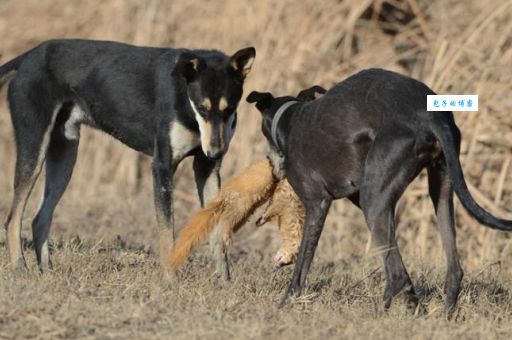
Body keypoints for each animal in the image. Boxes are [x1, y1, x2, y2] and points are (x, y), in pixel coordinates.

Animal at [0, 38, 256, 276]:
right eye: (202, 108)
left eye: (229, 109)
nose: (215, 152)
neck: (185, 98)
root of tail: (29, 56)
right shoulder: (163, 166)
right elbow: (168, 234)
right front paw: (170, 281)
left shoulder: (206, 168)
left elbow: (217, 231)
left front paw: (223, 281)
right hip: (34, 147)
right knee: (13, 219)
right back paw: (20, 268)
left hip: (64, 156)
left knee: (39, 218)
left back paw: (47, 272)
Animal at [248, 68, 512, 310]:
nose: (273, 169)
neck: (289, 118)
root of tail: (430, 116)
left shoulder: (317, 203)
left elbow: (303, 261)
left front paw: (285, 303)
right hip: (440, 187)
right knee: (450, 269)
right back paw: (437, 313)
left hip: (374, 200)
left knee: (397, 276)